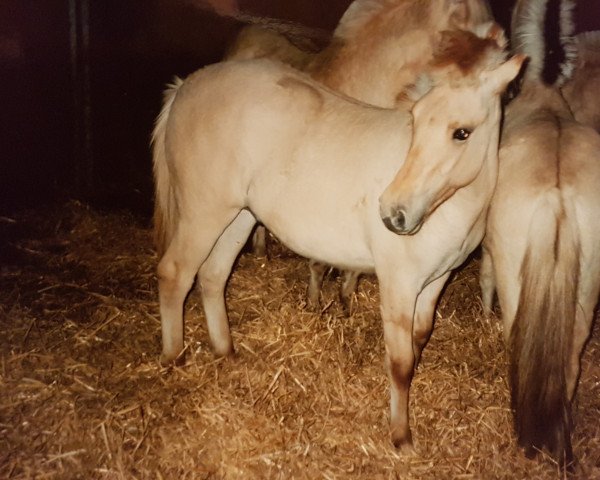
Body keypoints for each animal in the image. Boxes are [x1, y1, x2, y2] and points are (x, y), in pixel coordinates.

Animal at [154, 31, 520, 454]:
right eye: (415, 120)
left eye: (462, 132)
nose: (393, 214)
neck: (451, 205)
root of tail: (184, 87)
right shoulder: (398, 284)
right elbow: (400, 364)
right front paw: (401, 437)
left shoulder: (436, 281)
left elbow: (419, 339)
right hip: (204, 213)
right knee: (175, 274)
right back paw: (175, 359)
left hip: (238, 216)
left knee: (213, 277)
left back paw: (226, 352)